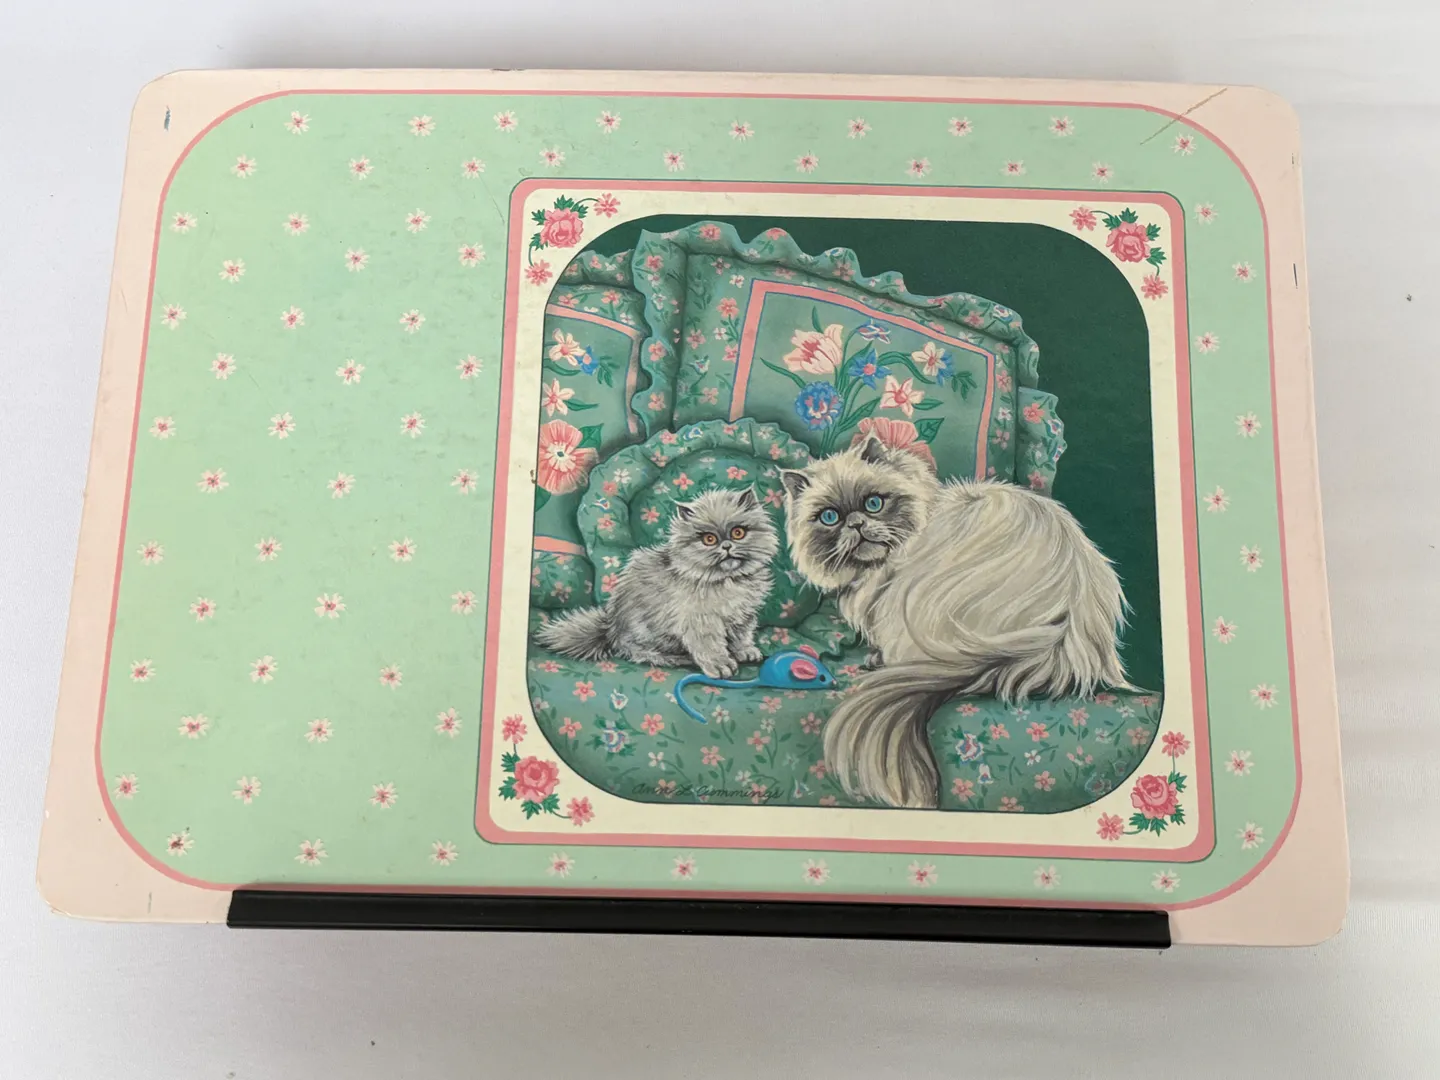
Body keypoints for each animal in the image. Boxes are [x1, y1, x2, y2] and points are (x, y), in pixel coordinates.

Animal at [535, 487, 778, 678]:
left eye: (738, 533)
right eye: (709, 540)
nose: (727, 546)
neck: (726, 580)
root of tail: (610, 630)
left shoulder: (742, 616)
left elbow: (741, 637)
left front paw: (746, 652)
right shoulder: (701, 623)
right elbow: (711, 648)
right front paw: (721, 666)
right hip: (643, 636)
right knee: (640, 653)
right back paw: (678, 658)